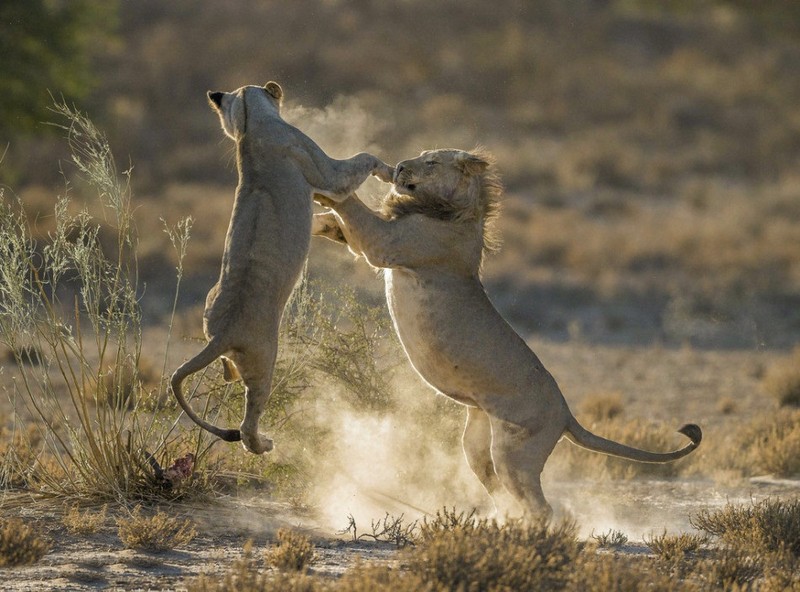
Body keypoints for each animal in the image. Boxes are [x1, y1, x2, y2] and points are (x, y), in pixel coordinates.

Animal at [172, 82, 394, 454]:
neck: (250, 125)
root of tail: (221, 334)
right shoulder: (326, 170)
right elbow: (362, 158)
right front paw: (389, 172)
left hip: (215, 320)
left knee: (228, 371)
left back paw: (229, 375)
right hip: (265, 359)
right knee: (247, 424)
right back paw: (264, 444)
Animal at [312, 149, 700, 520]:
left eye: (431, 161)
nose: (399, 168)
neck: (453, 211)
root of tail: (566, 414)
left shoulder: (386, 243)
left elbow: (351, 206)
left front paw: (334, 182)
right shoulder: (368, 241)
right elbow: (335, 223)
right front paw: (316, 217)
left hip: (514, 453)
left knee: (540, 506)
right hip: (478, 440)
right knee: (499, 490)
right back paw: (494, 524)